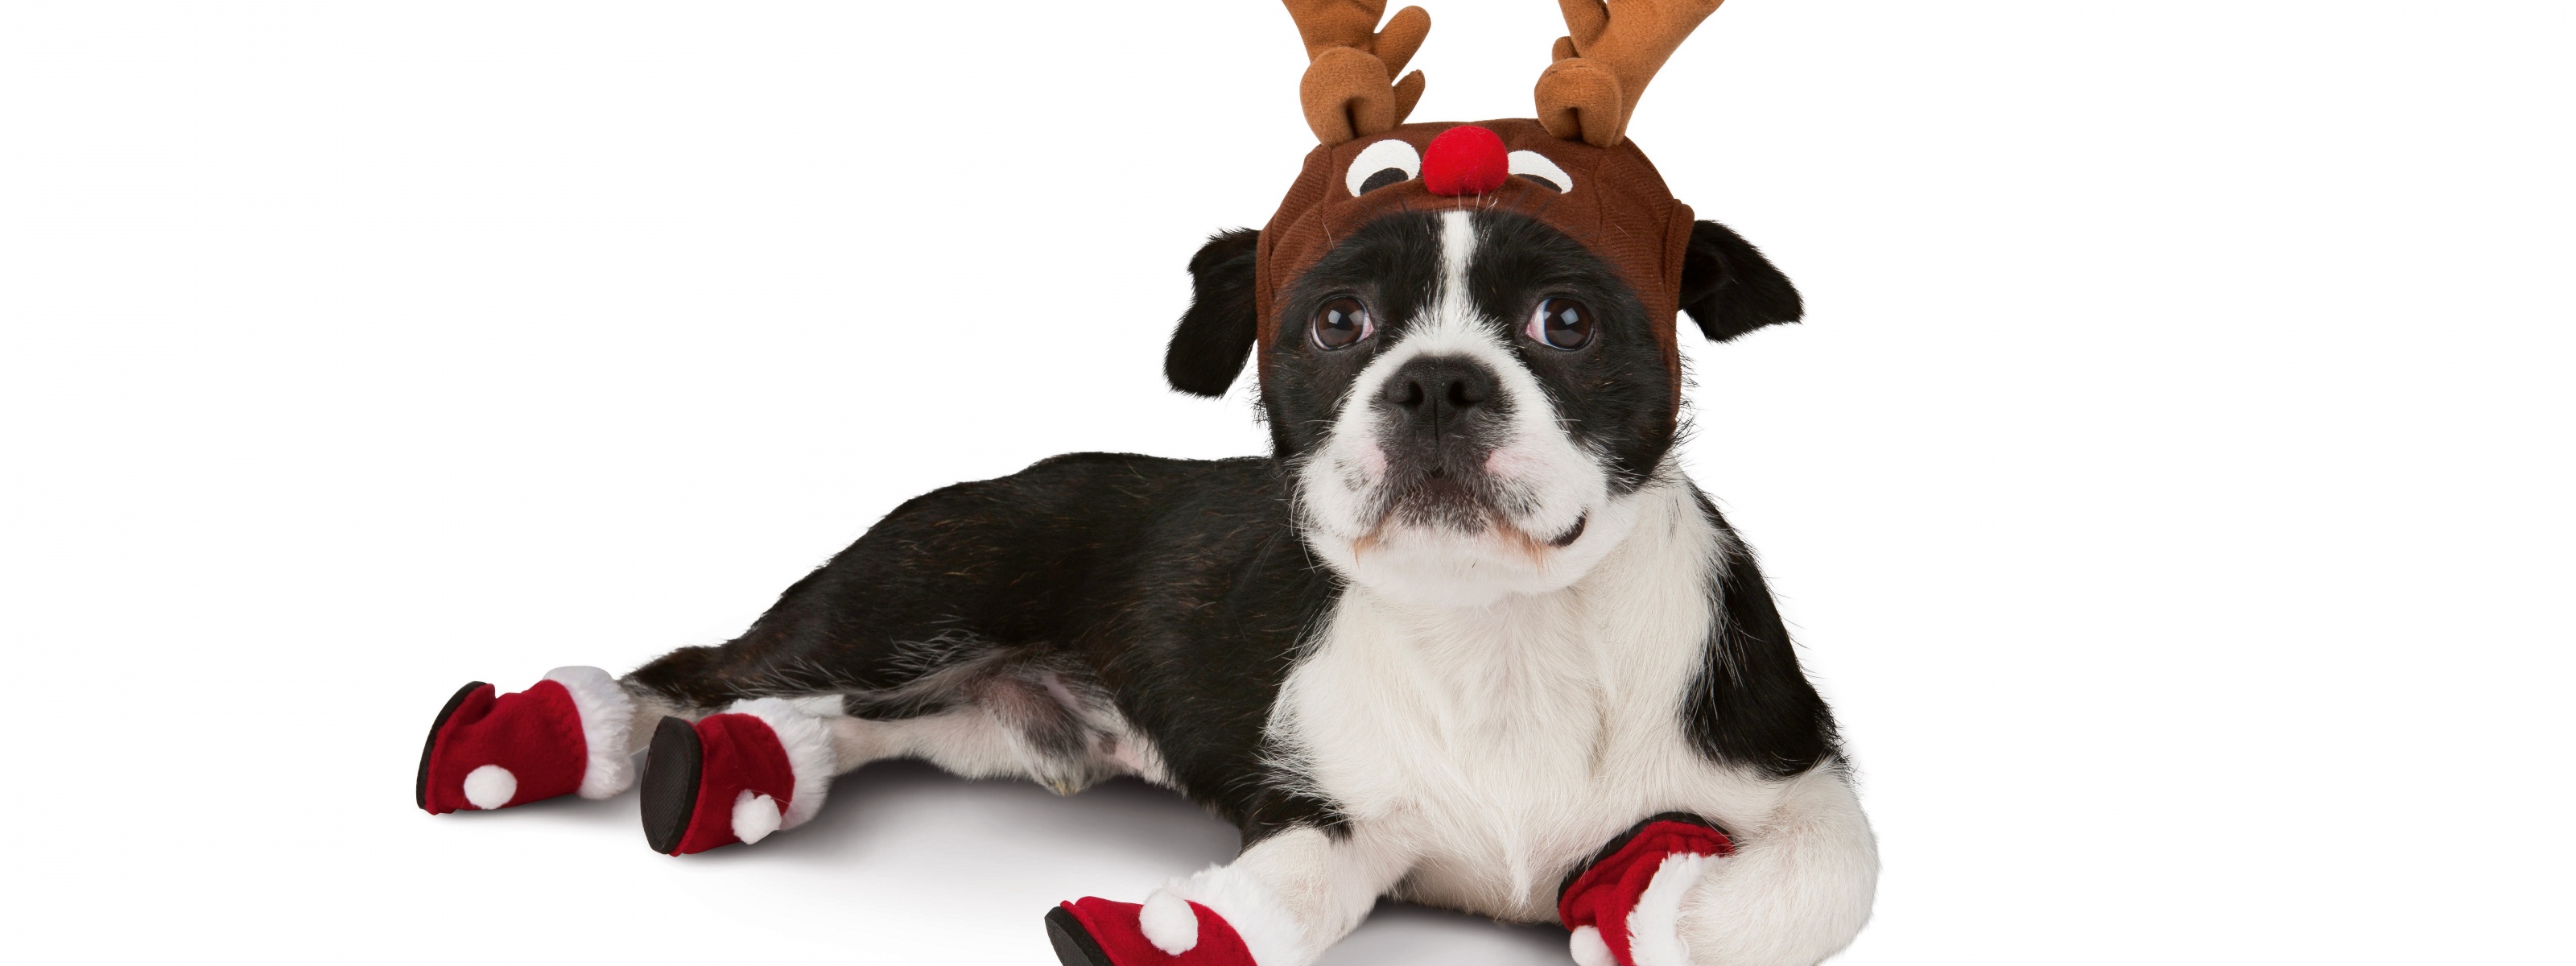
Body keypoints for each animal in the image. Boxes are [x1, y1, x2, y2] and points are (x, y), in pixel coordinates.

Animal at [412, 2, 1885, 966]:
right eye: (1336, 324)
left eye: (1566, 323)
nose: (1436, 384)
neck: (1501, 633)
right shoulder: (1324, 809)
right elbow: (1285, 897)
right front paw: (1179, 926)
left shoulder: (1801, 774)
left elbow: (1818, 886)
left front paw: (1642, 903)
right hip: (903, 599)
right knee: (700, 667)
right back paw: (572, 734)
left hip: (976, 721)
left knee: (839, 724)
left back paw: (750, 770)